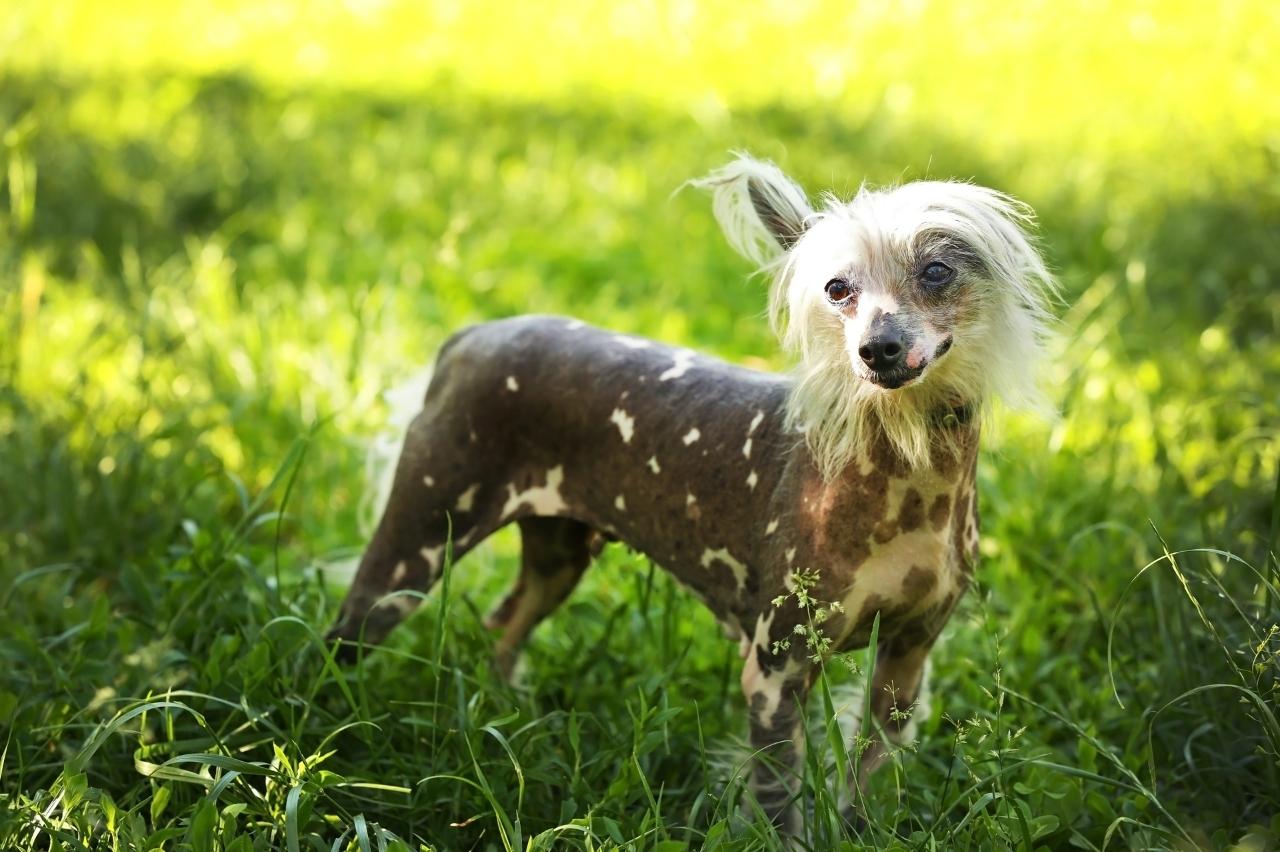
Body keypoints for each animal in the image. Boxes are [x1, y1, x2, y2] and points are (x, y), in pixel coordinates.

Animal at [325, 154, 1054, 828]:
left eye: (936, 272)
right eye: (837, 288)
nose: (875, 349)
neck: (907, 475)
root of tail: (470, 334)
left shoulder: (906, 663)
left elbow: (865, 785)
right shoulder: (776, 671)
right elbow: (780, 805)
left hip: (558, 556)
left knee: (505, 626)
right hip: (412, 550)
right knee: (341, 641)